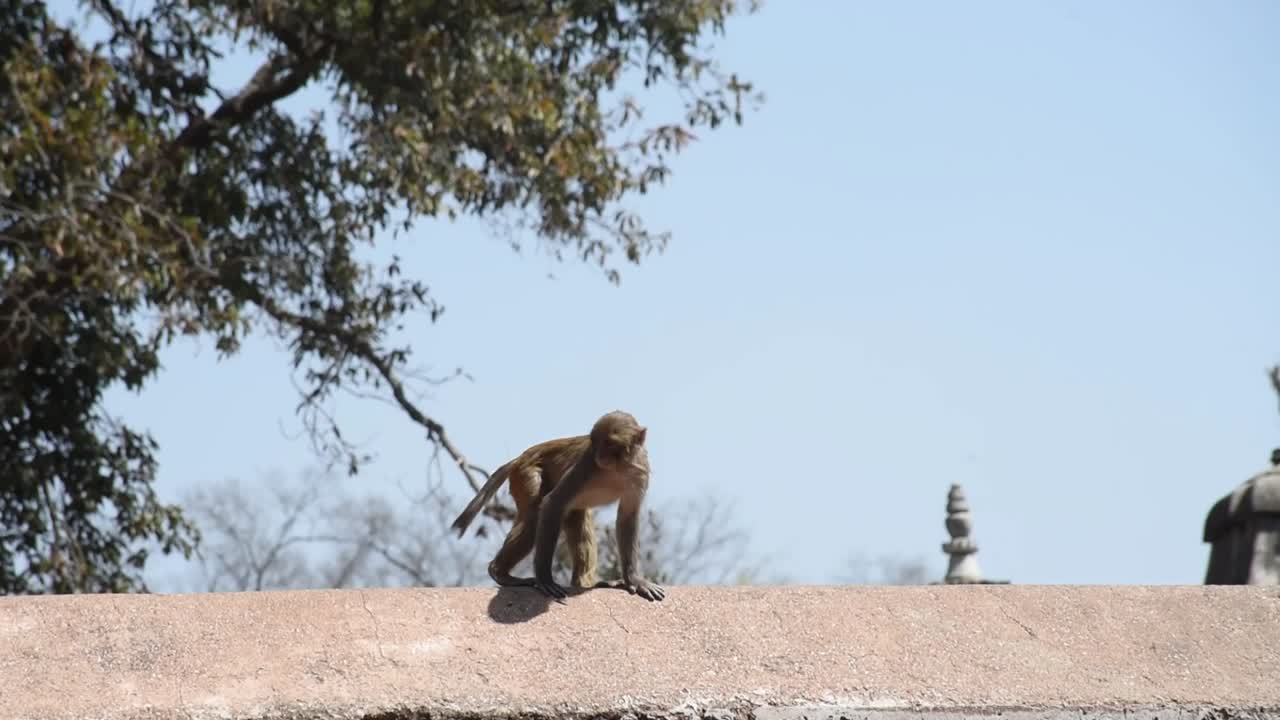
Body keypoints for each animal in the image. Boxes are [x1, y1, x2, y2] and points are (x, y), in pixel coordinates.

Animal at [451, 411, 665, 602]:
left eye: (609, 443)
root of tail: (520, 457)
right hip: (526, 473)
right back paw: (500, 573)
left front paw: (634, 579)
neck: (617, 468)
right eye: (595, 442)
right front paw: (545, 579)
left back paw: (586, 583)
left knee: (578, 519)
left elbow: (628, 517)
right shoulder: (586, 465)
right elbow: (553, 503)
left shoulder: (639, 473)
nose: (600, 455)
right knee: (535, 517)